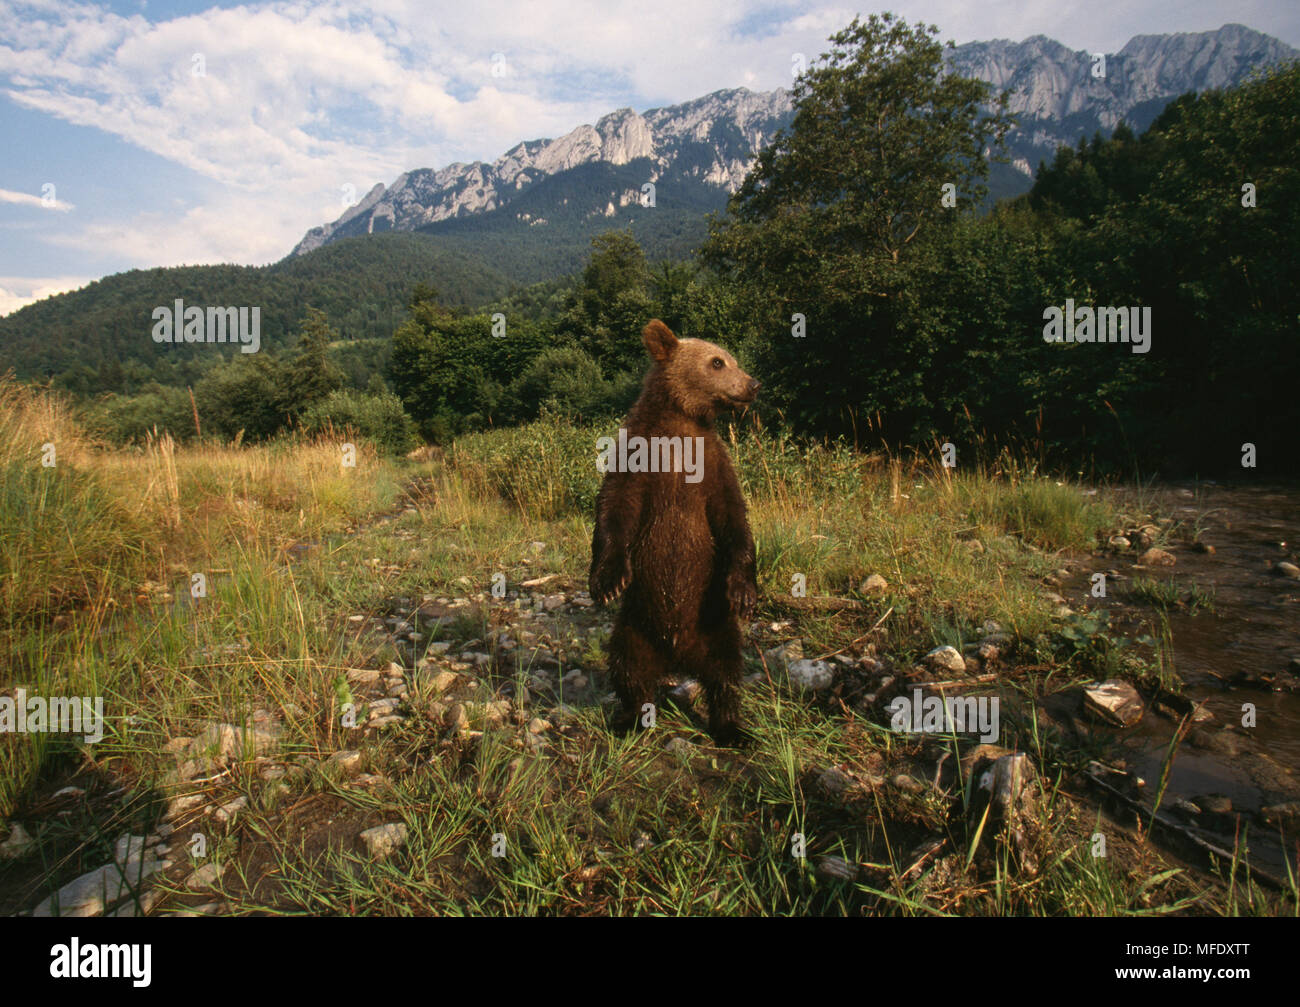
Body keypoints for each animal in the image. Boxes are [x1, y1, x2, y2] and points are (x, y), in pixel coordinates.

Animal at [589, 319, 760, 746]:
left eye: (731, 358)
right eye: (717, 362)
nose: (752, 384)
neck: (681, 425)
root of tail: (678, 655)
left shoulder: (713, 465)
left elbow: (734, 519)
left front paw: (744, 592)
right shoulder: (638, 456)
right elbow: (614, 508)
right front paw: (608, 581)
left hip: (713, 624)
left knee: (726, 673)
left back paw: (731, 727)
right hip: (634, 626)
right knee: (627, 667)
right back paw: (630, 719)